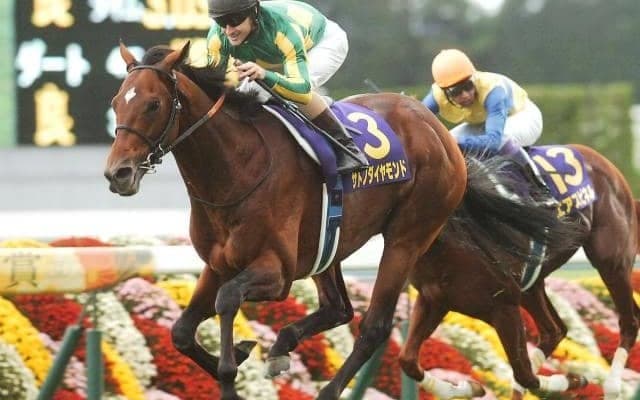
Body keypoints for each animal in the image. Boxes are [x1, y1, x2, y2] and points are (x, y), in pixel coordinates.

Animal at [103, 41, 579, 400]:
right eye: (115, 102)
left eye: (153, 104)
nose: (117, 174)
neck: (237, 166)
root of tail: (434, 126)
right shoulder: (218, 264)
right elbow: (182, 332)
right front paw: (242, 351)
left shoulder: (275, 272)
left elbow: (226, 301)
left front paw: (231, 369)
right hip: (328, 244)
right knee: (338, 307)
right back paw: (283, 346)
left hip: (408, 236)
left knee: (374, 325)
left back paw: (329, 388)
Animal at [398, 144, 640, 399]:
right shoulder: (435, 299)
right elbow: (407, 360)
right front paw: (468, 387)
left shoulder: (504, 306)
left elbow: (526, 375)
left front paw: (575, 380)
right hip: (531, 285)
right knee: (554, 330)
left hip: (611, 262)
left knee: (629, 321)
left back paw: (612, 387)